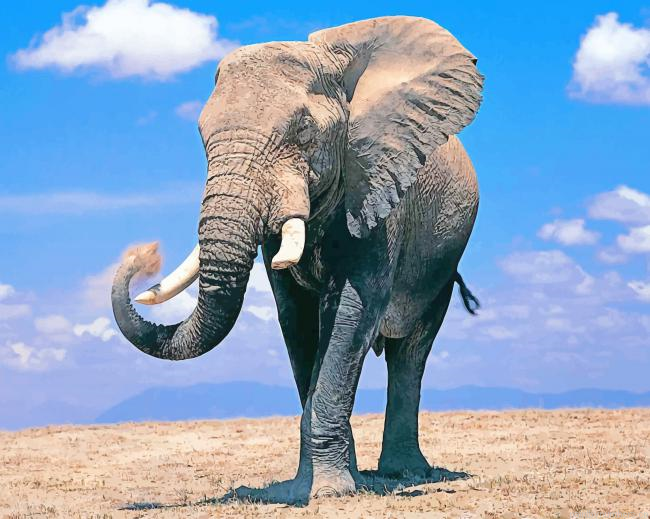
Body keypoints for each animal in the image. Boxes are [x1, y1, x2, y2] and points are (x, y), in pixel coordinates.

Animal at [111, 15, 483, 503]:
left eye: (305, 132)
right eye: (201, 135)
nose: (144, 254)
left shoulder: (376, 187)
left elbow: (349, 312)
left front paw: (330, 492)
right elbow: (297, 321)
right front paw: (309, 488)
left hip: (442, 259)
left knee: (411, 350)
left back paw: (406, 473)